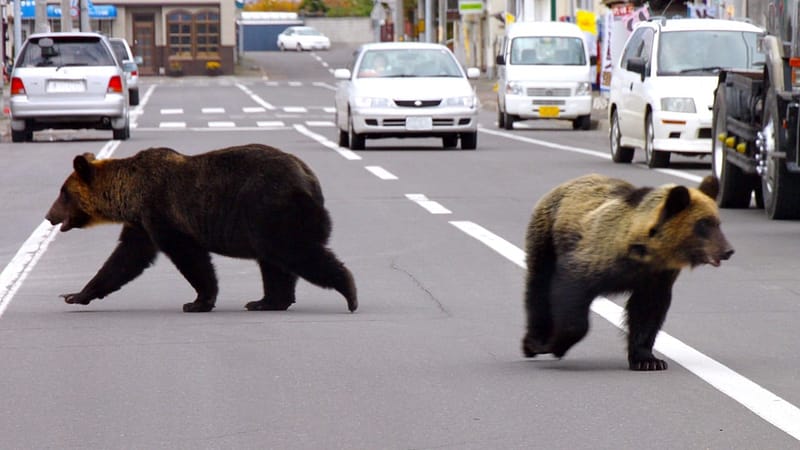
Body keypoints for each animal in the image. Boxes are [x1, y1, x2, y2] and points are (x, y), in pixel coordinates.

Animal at [45, 143, 357, 313]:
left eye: (63, 193)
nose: (49, 216)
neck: (130, 194)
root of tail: (310, 179)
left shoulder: (162, 213)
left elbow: (189, 257)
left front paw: (197, 301)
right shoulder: (142, 224)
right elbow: (124, 259)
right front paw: (75, 295)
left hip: (270, 208)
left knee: (294, 252)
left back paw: (349, 293)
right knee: (274, 262)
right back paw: (266, 301)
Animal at [521, 174, 733, 371]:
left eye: (718, 223)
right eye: (703, 223)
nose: (728, 250)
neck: (645, 252)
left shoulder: (656, 277)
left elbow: (647, 312)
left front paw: (648, 360)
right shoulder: (594, 258)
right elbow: (571, 293)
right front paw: (555, 345)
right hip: (547, 235)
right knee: (538, 284)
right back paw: (533, 341)